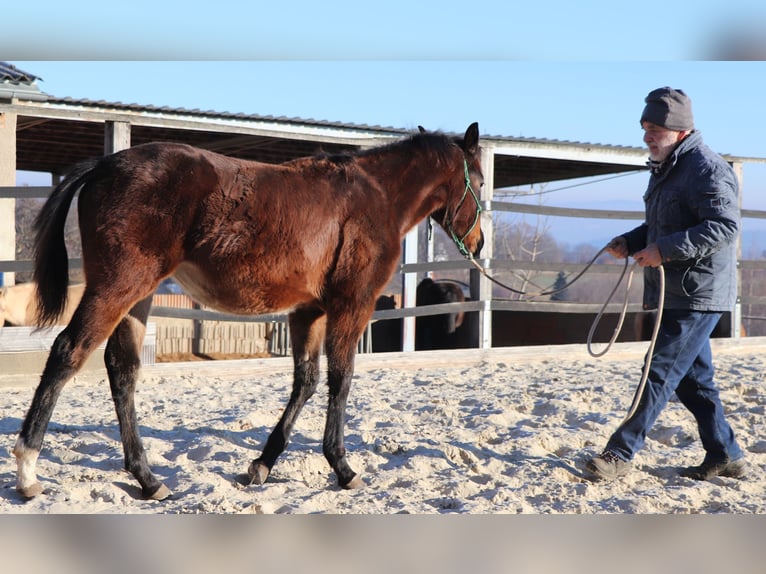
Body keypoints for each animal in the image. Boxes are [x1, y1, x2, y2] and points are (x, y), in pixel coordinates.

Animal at [13, 123, 484, 500]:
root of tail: (103, 166)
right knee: (68, 352)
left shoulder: (308, 311)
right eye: (479, 181)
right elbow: (341, 379)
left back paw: (148, 479)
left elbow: (306, 381)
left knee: (122, 368)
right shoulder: (351, 305)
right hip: (118, 286)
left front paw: (262, 465)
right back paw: (28, 470)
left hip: (138, 296)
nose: (478, 245)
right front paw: (343, 467)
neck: (375, 196)